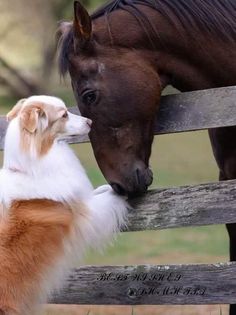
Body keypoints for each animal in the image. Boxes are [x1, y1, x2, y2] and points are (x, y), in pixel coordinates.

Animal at [0, 96, 127, 315]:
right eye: (64, 115)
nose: (90, 121)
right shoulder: (85, 213)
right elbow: (106, 199)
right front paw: (122, 191)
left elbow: (97, 191)